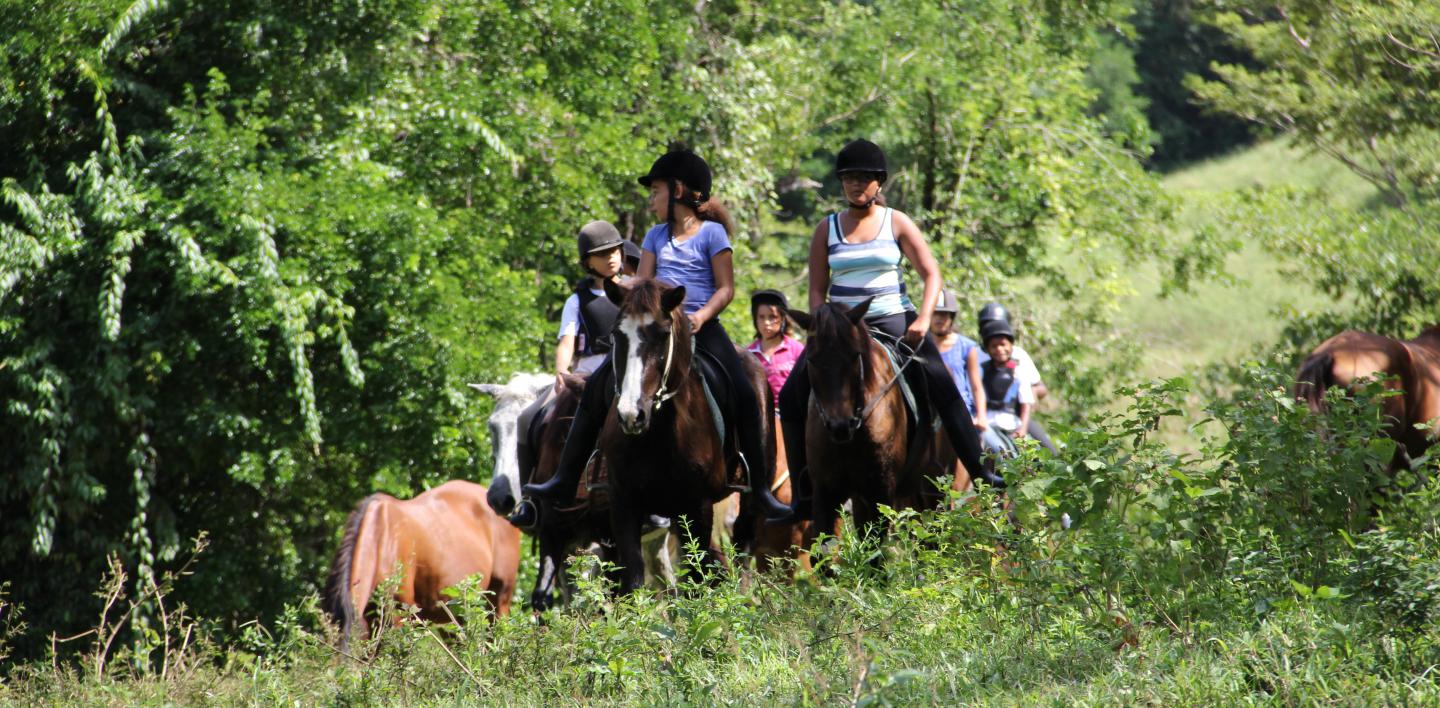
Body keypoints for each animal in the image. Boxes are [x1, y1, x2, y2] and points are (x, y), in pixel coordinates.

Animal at [596, 276, 766, 592]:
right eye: (617, 334)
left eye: (663, 335)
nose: (631, 415)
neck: (657, 436)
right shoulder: (623, 502)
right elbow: (634, 580)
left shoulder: (698, 507)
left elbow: (697, 578)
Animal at [789, 299, 956, 552]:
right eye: (811, 359)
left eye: (854, 355)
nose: (840, 426)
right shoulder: (825, 492)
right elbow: (823, 551)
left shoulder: (881, 492)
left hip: (934, 486)